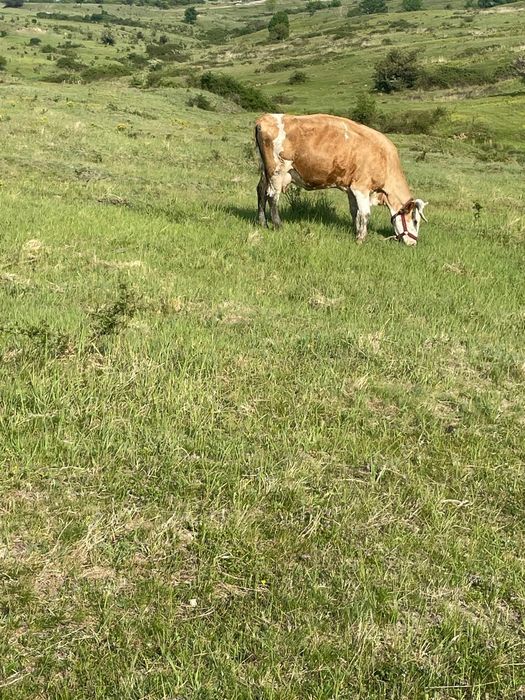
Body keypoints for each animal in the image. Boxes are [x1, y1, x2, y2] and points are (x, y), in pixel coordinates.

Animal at [255, 113, 428, 245]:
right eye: (415, 221)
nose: (414, 243)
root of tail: (265, 118)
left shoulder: (351, 189)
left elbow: (355, 212)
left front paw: (355, 230)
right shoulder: (361, 187)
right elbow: (365, 213)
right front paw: (361, 238)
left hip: (266, 170)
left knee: (261, 191)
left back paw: (262, 222)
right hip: (278, 170)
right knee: (272, 197)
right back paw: (278, 225)